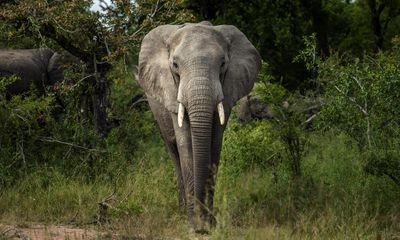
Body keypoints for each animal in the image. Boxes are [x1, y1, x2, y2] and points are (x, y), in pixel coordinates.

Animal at [138, 21, 262, 232]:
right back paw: (181, 212)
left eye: (222, 64)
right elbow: (186, 146)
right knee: (174, 153)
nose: (201, 225)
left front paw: (209, 224)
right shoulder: (171, 92)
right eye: (175, 65)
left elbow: (214, 145)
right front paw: (194, 225)